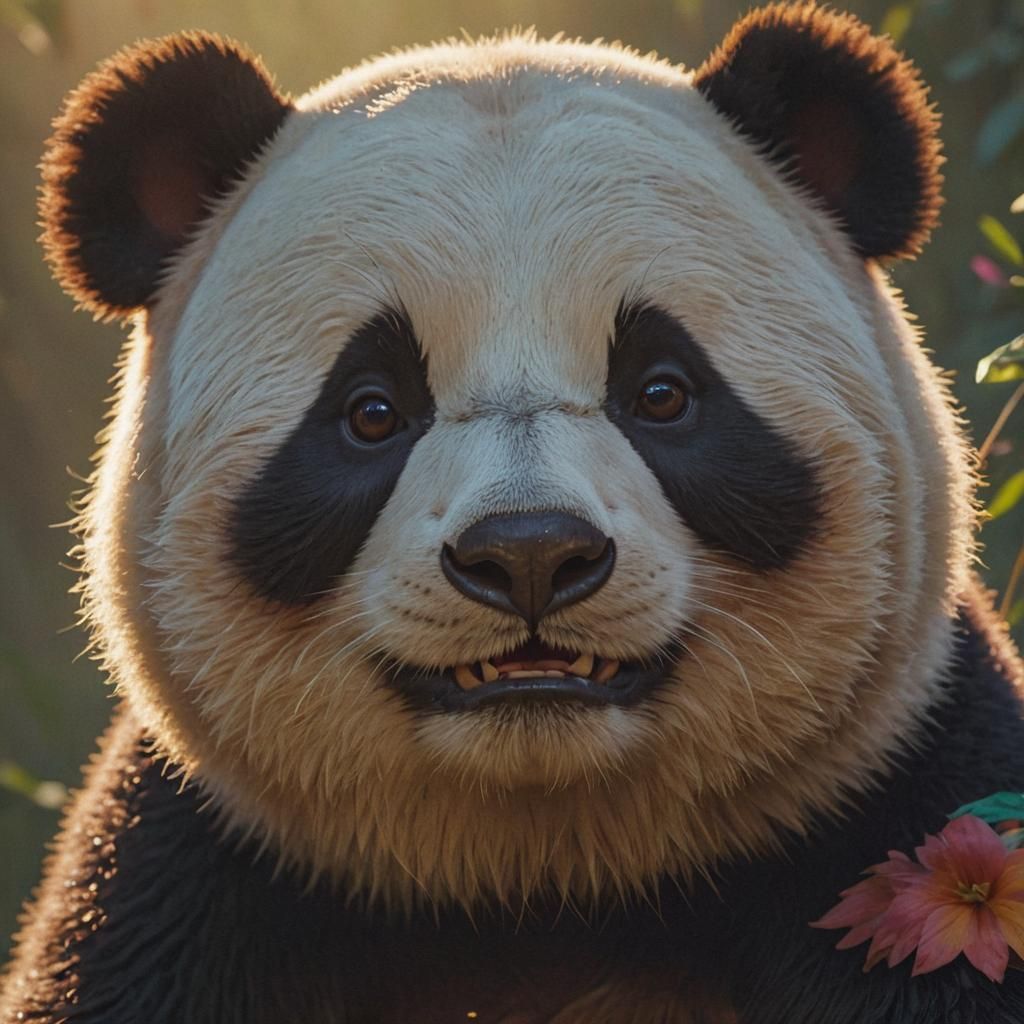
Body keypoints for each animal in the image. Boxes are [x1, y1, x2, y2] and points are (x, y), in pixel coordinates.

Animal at [3, 2, 1024, 1021]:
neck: (538, 871)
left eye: (661, 392)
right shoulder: (193, 877)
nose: (531, 554)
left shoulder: (902, 818)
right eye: (372, 410)